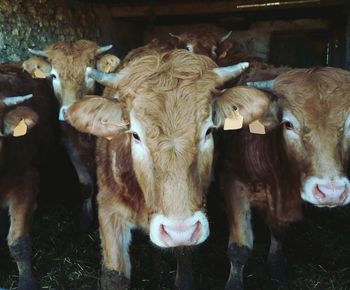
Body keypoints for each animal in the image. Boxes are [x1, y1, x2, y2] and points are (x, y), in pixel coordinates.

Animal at [22, 39, 115, 229]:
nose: (68, 112)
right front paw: (86, 220)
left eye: (90, 75)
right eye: (54, 76)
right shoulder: (70, 146)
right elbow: (85, 185)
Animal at [220, 66, 350, 290]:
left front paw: (277, 267)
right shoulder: (232, 183)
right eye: (288, 124)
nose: (331, 192)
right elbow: (239, 249)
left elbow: (280, 231)